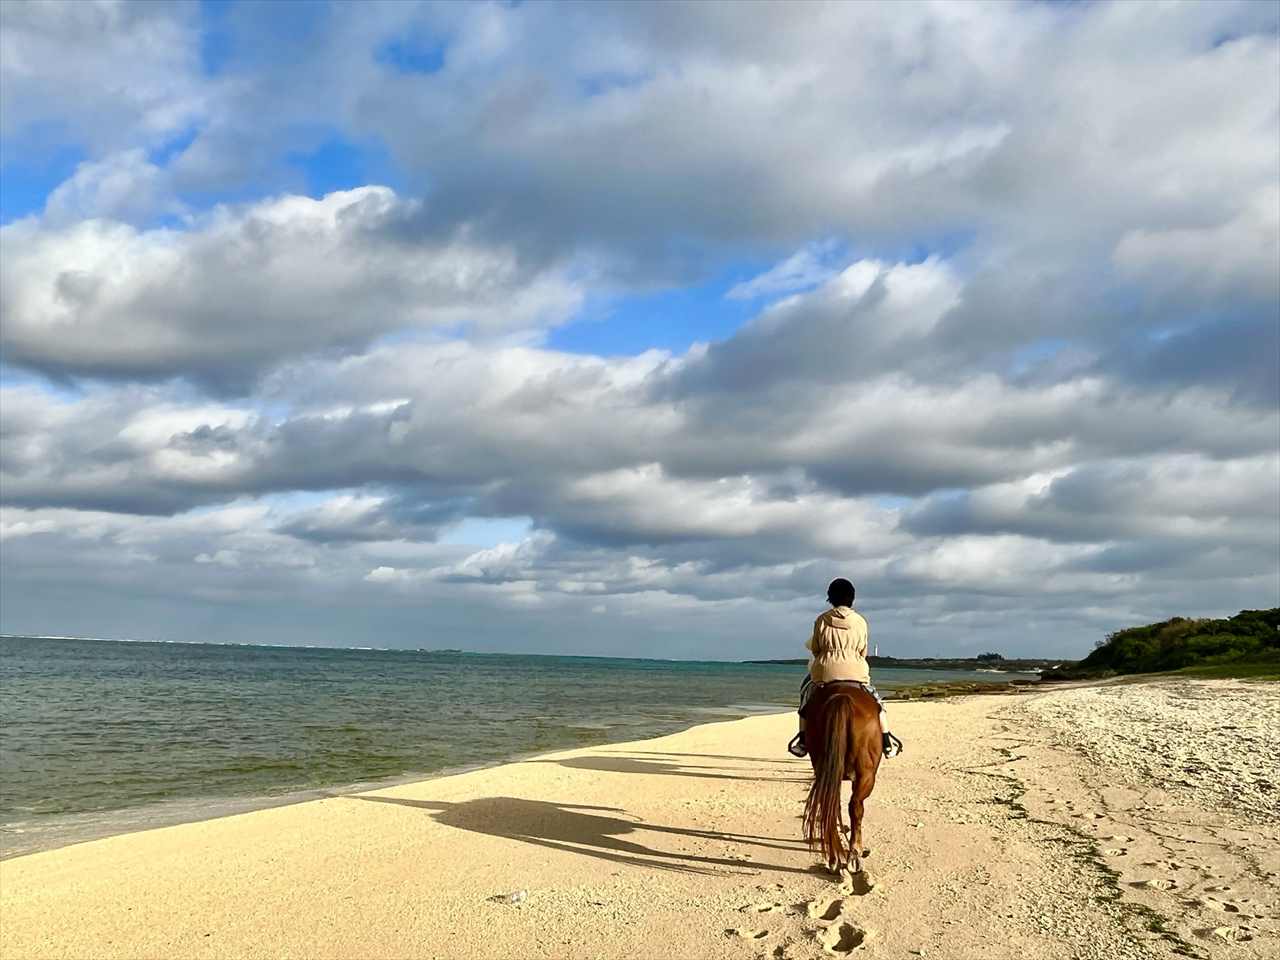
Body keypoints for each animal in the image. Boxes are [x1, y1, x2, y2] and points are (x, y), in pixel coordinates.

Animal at [801, 681, 883, 881]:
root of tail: (842, 697)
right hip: (867, 775)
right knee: (855, 806)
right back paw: (854, 855)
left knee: (830, 807)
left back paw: (834, 859)